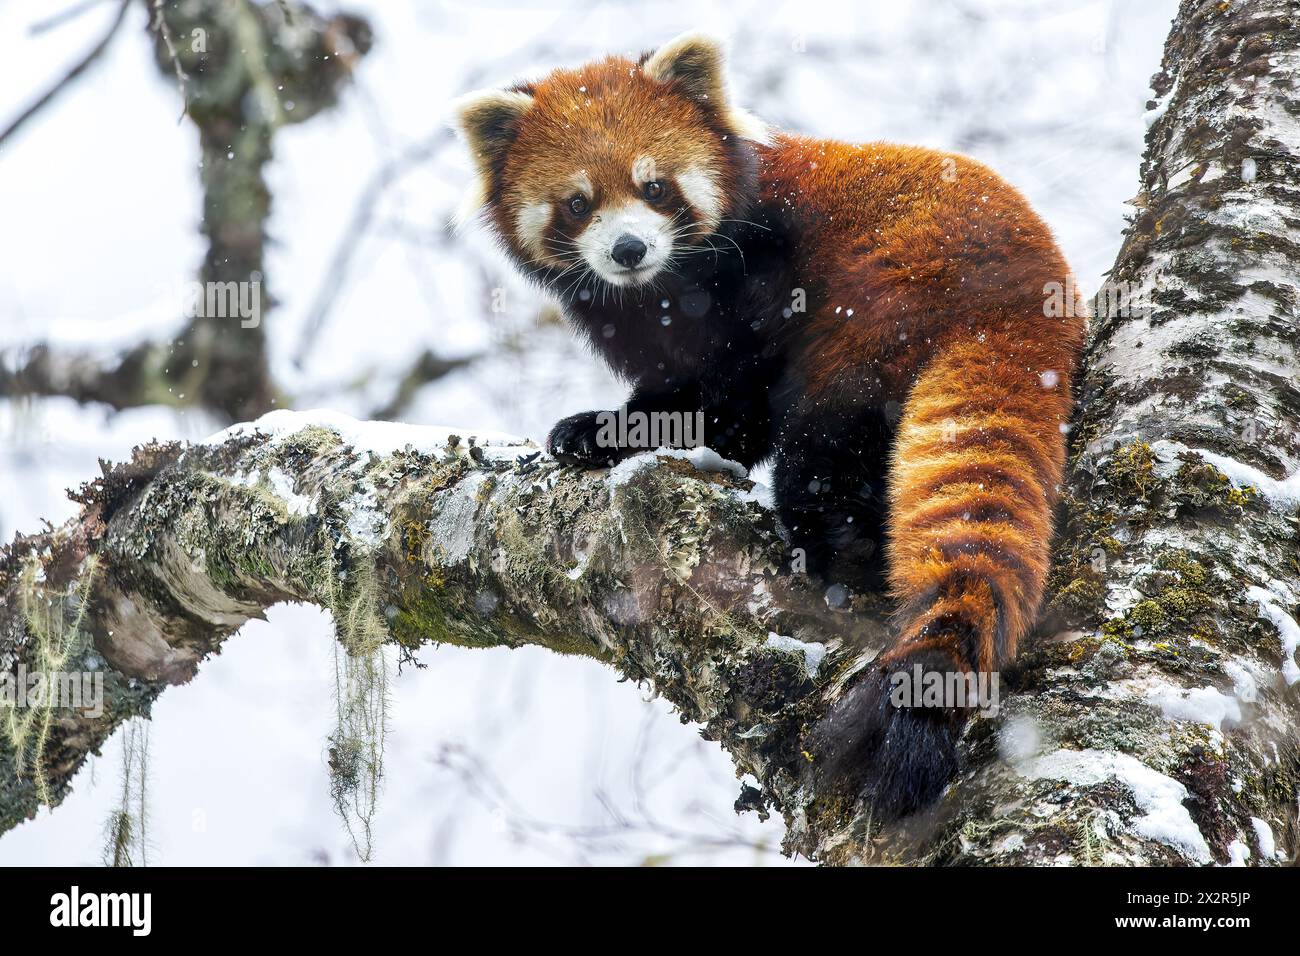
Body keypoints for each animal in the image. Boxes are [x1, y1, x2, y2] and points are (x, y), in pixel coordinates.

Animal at [457, 33, 1086, 816]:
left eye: (654, 187)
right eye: (578, 202)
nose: (629, 249)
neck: (660, 290)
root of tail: (1022, 294)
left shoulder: (758, 286)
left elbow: (733, 404)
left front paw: (618, 431)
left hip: (879, 306)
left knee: (823, 449)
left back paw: (834, 556)